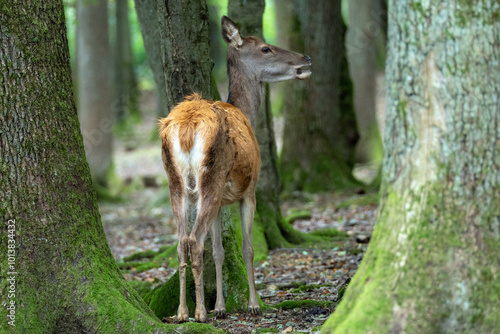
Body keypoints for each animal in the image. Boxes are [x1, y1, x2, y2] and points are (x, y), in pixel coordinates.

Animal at [158, 16, 310, 324]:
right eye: (265, 48)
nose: (306, 58)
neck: (246, 114)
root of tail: (187, 127)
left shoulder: (221, 203)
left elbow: (219, 250)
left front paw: (221, 306)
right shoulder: (249, 191)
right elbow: (247, 248)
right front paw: (252, 305)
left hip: (176, 182)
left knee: (181, 241)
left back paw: (181, 312)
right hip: (211, 178)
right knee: (194, 239)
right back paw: (199, 313)